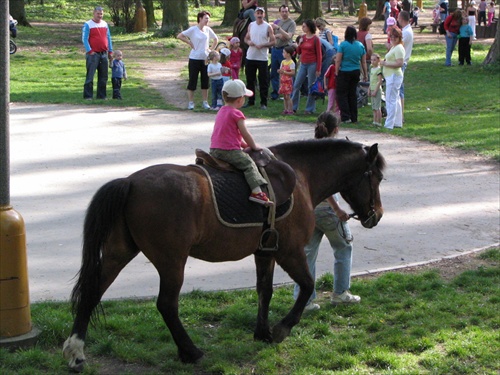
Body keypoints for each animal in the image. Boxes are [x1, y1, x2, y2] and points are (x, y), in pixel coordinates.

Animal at [63, 139, 386, 374]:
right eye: (379, 177)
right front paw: (282, 328)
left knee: (92, 292)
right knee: (166, 304)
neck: (301, 174)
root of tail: (130, 182)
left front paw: (262, 332)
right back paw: (190, 351)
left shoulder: (265, 251)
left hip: (119, 253)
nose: (378, 215)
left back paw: (76, 351)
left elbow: (264, 291)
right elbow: (307, 286)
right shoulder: (290, 251)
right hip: (172, 261)